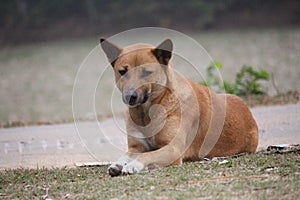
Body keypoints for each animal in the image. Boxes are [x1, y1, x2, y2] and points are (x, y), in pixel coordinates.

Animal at [99, 38, 258, 176]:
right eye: (122, 71)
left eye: (146, 72)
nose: (130, 96)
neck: (147, 114)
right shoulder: (136, 147)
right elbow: (125, 156)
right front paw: (118, 164)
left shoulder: (173, 149)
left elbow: (147, 155)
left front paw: (133, 165)